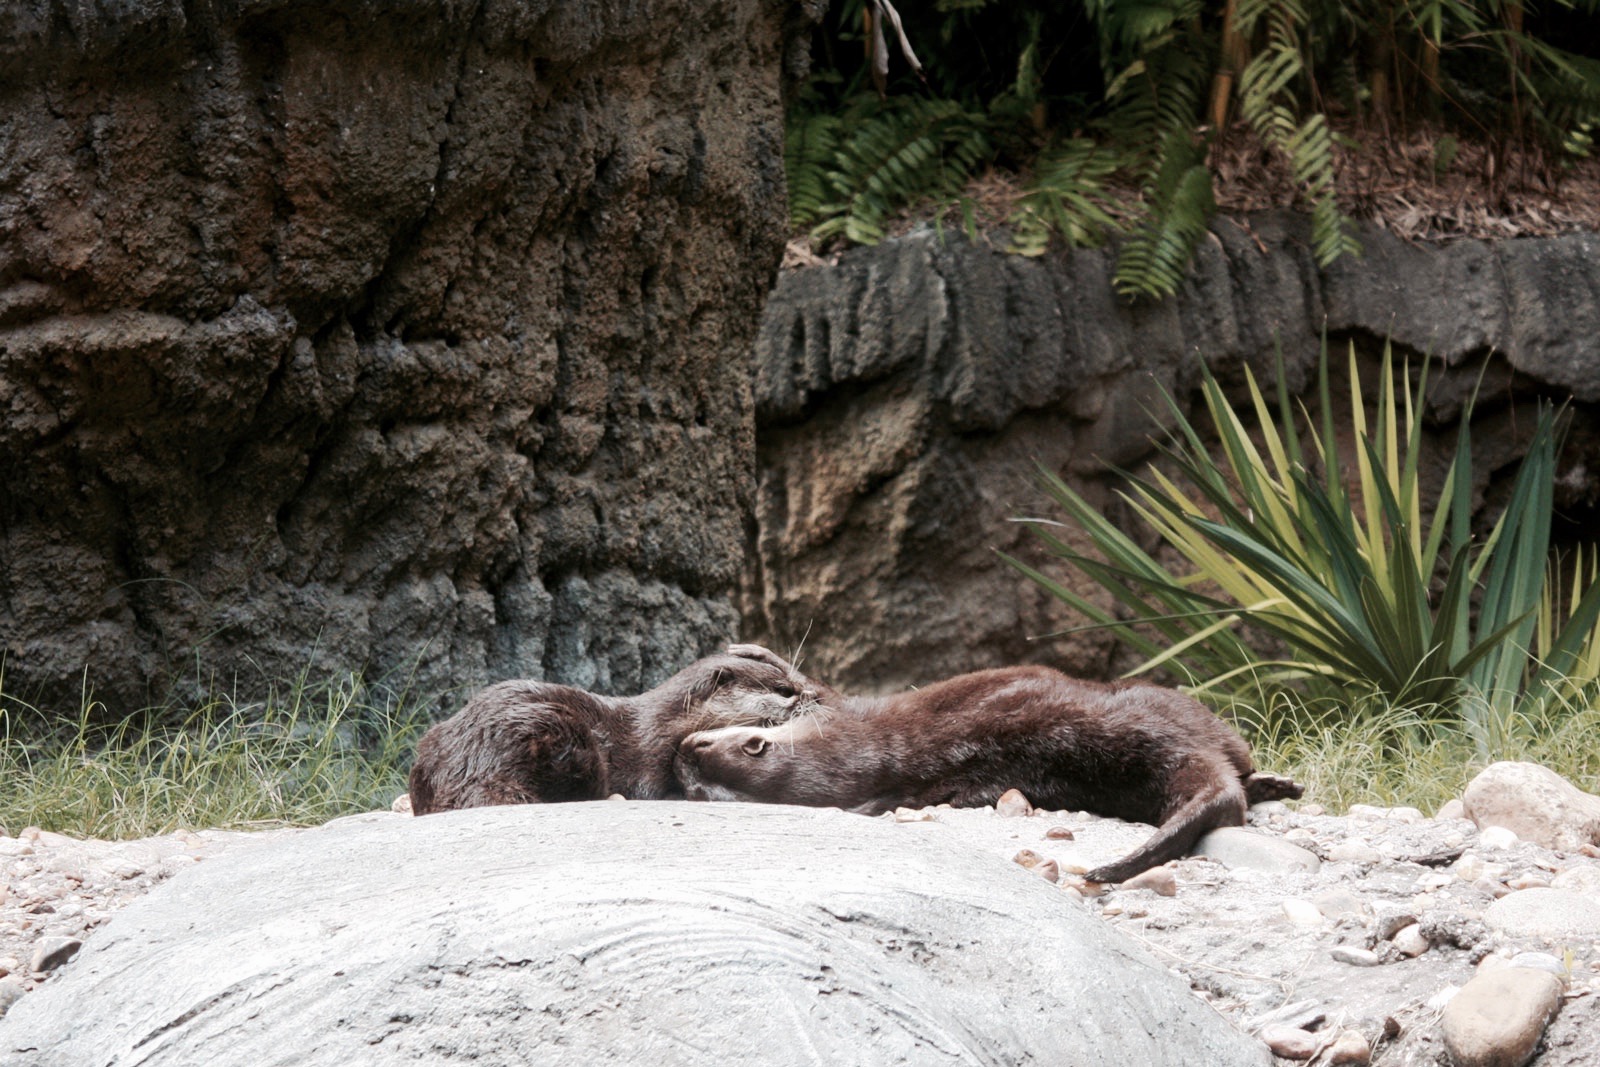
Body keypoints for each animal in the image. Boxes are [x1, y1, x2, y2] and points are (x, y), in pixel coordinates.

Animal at [406, 643, 832, 819]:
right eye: (784, 691)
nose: (813, 695)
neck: (662, 725)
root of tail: (471, 764)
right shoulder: (648, 761)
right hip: (560, 737)